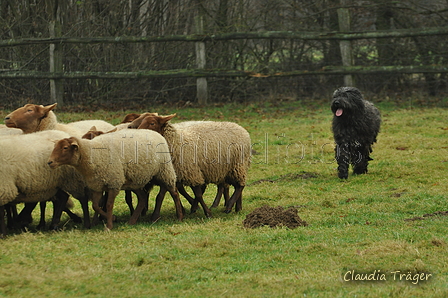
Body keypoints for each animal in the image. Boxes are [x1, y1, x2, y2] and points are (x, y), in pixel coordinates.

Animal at [47, 129, 184, 229]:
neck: (92, 155)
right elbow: (96, 206)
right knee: (142, 198)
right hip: (135, 180)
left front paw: (109, 225)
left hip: (164, 171)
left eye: (65, 148)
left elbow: (108, 205)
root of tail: (157, 133)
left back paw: (180, 217)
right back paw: (132, 221)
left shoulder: (114, 182)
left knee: (174, 193)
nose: (50, 162)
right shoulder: (97, 185)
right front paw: (112, 218)